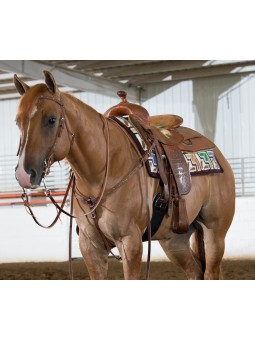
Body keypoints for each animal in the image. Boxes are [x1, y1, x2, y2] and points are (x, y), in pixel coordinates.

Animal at [13, 71, 235, 278]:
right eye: (17, 122)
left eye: (51, 120)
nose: (24, 174)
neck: (103, 172)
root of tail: (216, 151)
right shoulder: (90, 247)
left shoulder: (130, 243)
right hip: (175, 240)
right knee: (195, 273)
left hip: (214, 234)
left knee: (210, 272)